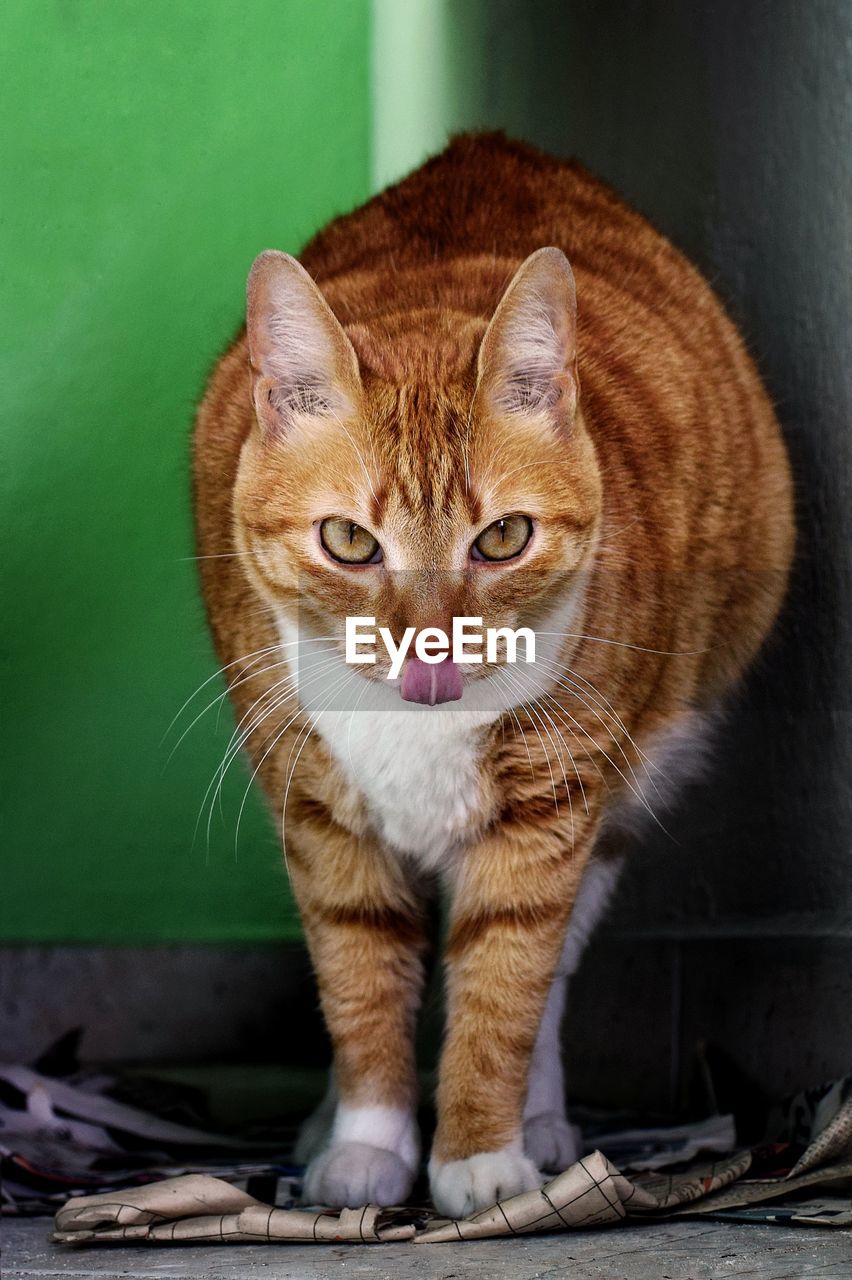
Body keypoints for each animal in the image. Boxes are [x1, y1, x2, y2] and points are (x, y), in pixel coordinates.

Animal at [190, 135, 788, 1213]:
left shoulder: (552, 803)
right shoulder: (317, 808)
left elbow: (505, 979)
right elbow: (358, 975)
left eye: (502, 537)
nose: (433, 644)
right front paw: (367, 1144)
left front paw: (480, 1155)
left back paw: (542, 1124)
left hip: (629, 791)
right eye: (350, 541)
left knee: (546, 976)